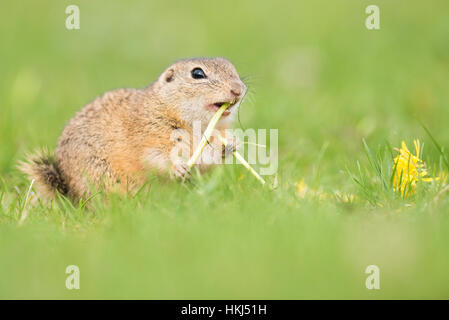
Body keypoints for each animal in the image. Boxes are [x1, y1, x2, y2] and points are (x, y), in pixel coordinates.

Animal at [20, 57, 245, 200]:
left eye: (232, 68)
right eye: (197, 73)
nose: (239, 89)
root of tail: (69, 194)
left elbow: (205, 162)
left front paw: (231, 144)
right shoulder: (150, 133)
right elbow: (154, 158)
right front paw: (177, 167)